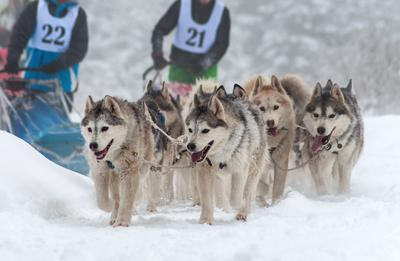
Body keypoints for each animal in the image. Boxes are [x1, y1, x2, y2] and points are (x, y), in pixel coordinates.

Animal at [81, 94, 162, 224]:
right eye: (89, 129)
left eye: (104, 128)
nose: (92, 145)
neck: (112, 155)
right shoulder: (100, 170)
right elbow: (102, 201)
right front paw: (110, 207)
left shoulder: (129, 170)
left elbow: (127, 198)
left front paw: (122, 222)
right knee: (117, 196)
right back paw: (114, 214)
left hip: (143, 166)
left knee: (137, 189)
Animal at [185, 82, 268, 224]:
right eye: (190, 129)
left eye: (205, 130)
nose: (190, 146)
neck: (221, 154)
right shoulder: (205, 171)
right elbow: (207, 200)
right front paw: (206, 221)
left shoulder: (240, 170)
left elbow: (236, 199)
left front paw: (239, 207)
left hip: (254, 168)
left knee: (248, 191)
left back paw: (243, 212)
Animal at [242, 73, 310, 205]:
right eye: (261, 108)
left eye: (276, 107)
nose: (270, 122)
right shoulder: (258, 163)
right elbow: (260, 184)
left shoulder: (281, 162)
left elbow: (277, 188)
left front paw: (276, 203)